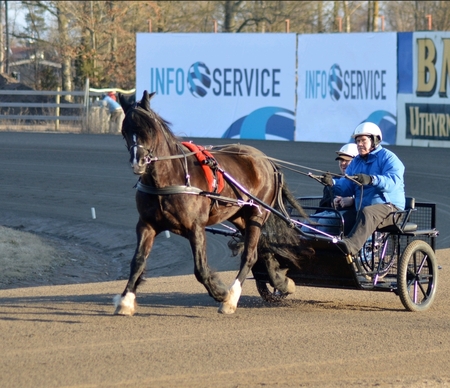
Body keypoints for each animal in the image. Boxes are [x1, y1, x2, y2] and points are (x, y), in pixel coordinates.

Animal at [114, 91, 308, 316]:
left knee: (250, 255)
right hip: (240, 216)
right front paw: (126, 301)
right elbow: (137, 261)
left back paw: (231, 299)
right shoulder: (147, 224)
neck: (170, 179)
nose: (138, 163)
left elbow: (200, 268)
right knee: (263, 249)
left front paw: (221, 293)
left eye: (149, 130)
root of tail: (267, 161)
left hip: (257, 213)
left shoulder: (195, 226)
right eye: (125, 131)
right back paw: (281, 282)